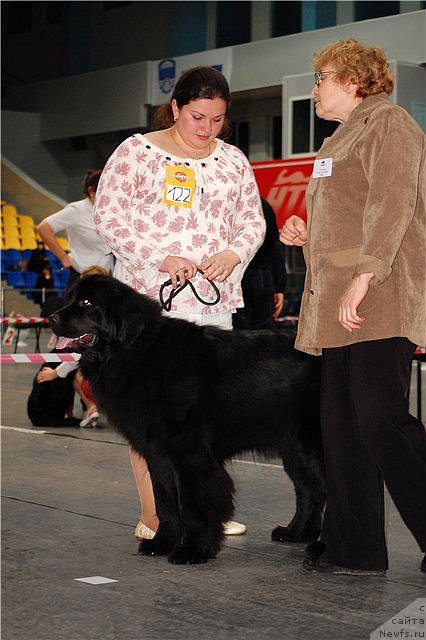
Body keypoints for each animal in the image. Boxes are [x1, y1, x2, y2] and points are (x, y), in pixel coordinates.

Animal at [49, 276, 322, 564]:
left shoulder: (189, 456)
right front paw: (161, 543)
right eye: (70, 298)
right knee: (309, 491)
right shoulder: (157, 455)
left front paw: (193, 550)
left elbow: (193, 506)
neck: (138, 353)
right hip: (294, 449)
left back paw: (319, 547)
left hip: (310, 445)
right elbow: (166, 504)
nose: (52, 318)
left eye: (87, 303)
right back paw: (296, 533)